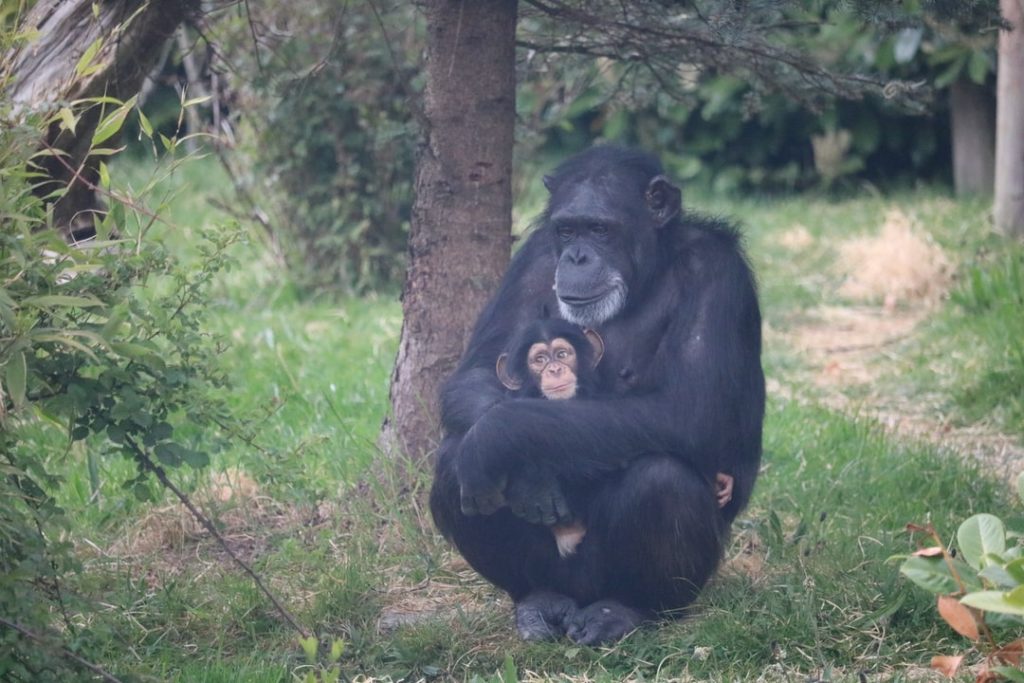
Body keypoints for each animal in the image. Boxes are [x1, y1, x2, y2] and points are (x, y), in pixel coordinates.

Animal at [428, 144, 765, 647]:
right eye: (568, 229)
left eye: (601, 229)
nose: (577, 256)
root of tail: (579, 599)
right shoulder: (534, 258)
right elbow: (476, 374)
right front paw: (531, 477)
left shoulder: (716, 271)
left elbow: (688, 411)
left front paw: (497, 438)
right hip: (557, 575)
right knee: (455, 465)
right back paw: (539, 601)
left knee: (660, 481)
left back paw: (626, 610)